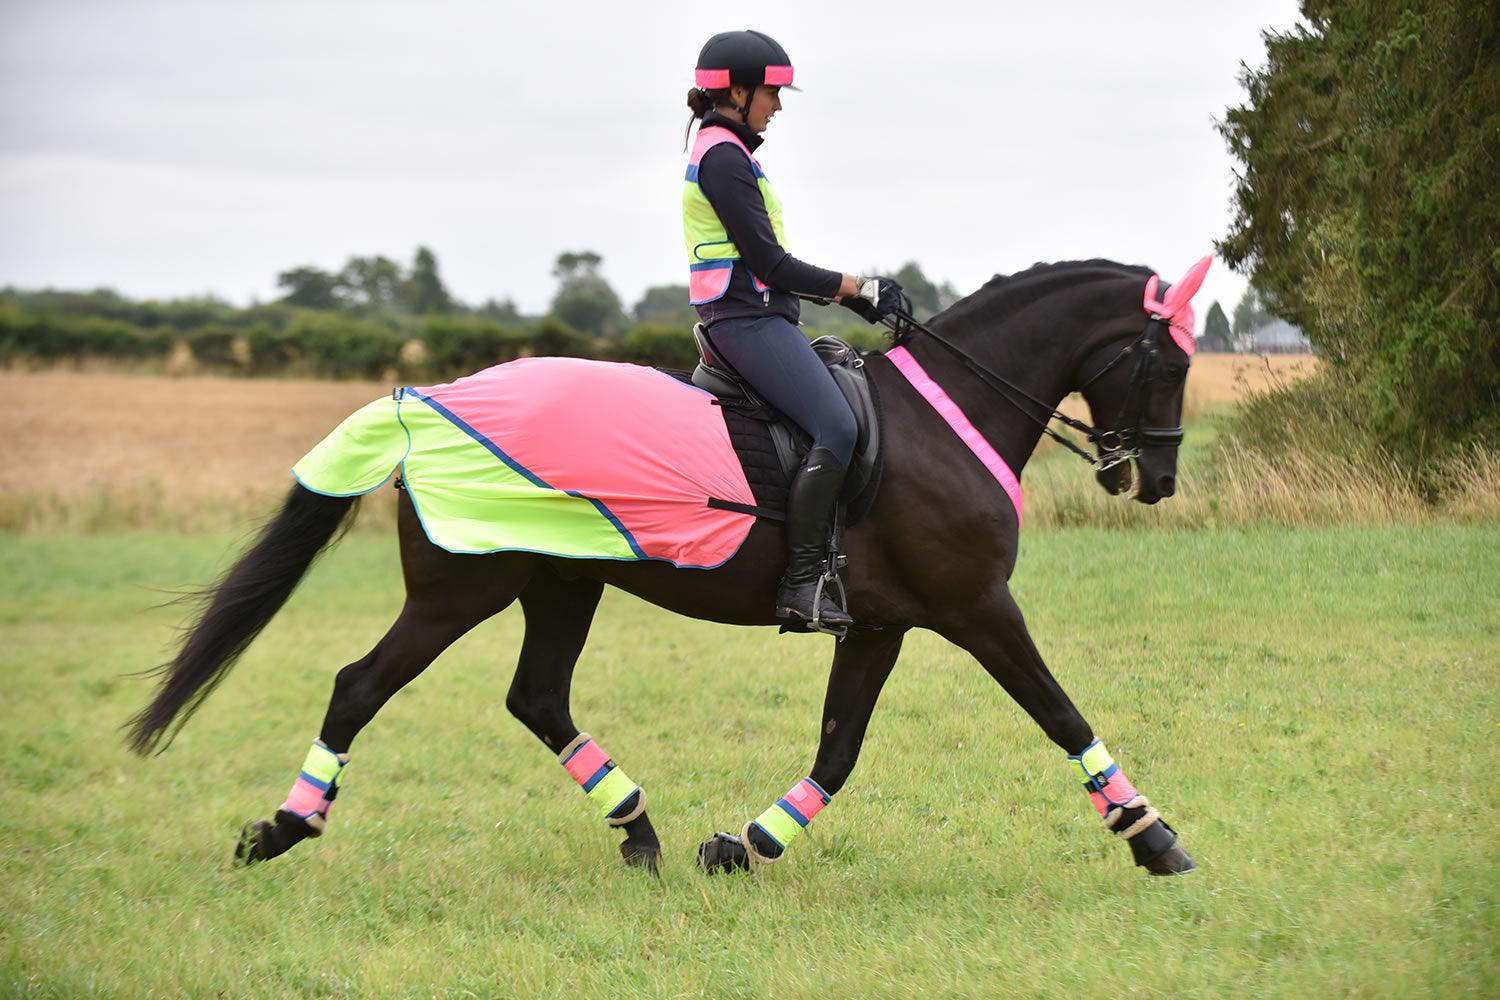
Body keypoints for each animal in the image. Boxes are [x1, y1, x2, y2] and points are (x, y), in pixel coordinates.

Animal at [126, 256, 1206, 875]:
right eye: (1169, 361)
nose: (1153, 477)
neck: (942, 419)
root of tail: (425, 401)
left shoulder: (881, 623)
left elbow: (838, 749)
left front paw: (745, 845)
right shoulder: (978, 606)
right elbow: (1062, 714)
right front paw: (1154, 838)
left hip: (560, 582)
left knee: (537, 697)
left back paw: (638, 830)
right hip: (463, 587)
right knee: (360, 686)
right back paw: (280, 829)